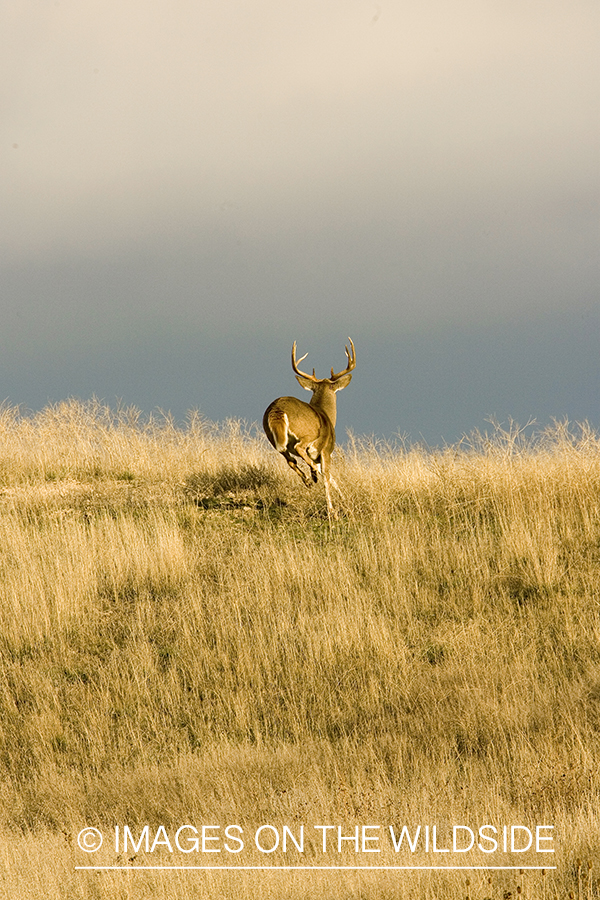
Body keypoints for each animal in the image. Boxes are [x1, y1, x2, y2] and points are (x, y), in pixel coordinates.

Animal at [264, 342, 356, 516]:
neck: (326, 415)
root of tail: (277, 410)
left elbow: (332, 478)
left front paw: (344, 499)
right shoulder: (326, 451)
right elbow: (328, 477)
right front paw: (332, 510)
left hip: (272, 438)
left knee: (289, 459)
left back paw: (308, 480)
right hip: (308, 433)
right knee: (299, 448)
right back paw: (312, 475)